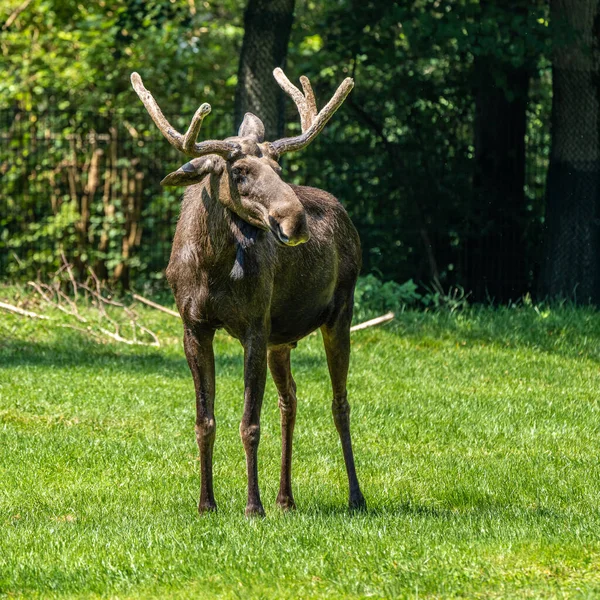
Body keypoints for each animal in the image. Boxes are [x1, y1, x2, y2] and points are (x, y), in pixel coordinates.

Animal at [131, 67, 366, 516]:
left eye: (278, 165)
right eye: (238, 171)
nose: (295, 221)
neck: (211, 266)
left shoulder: (255, 325)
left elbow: (249, 424)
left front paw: (252, 506)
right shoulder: (193, 326)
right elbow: (204, 421)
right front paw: (207, 502)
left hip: (340, 311)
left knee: (340, 402)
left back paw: (355, 496)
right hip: (282, 338)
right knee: (290, 400)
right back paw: (285, 497)